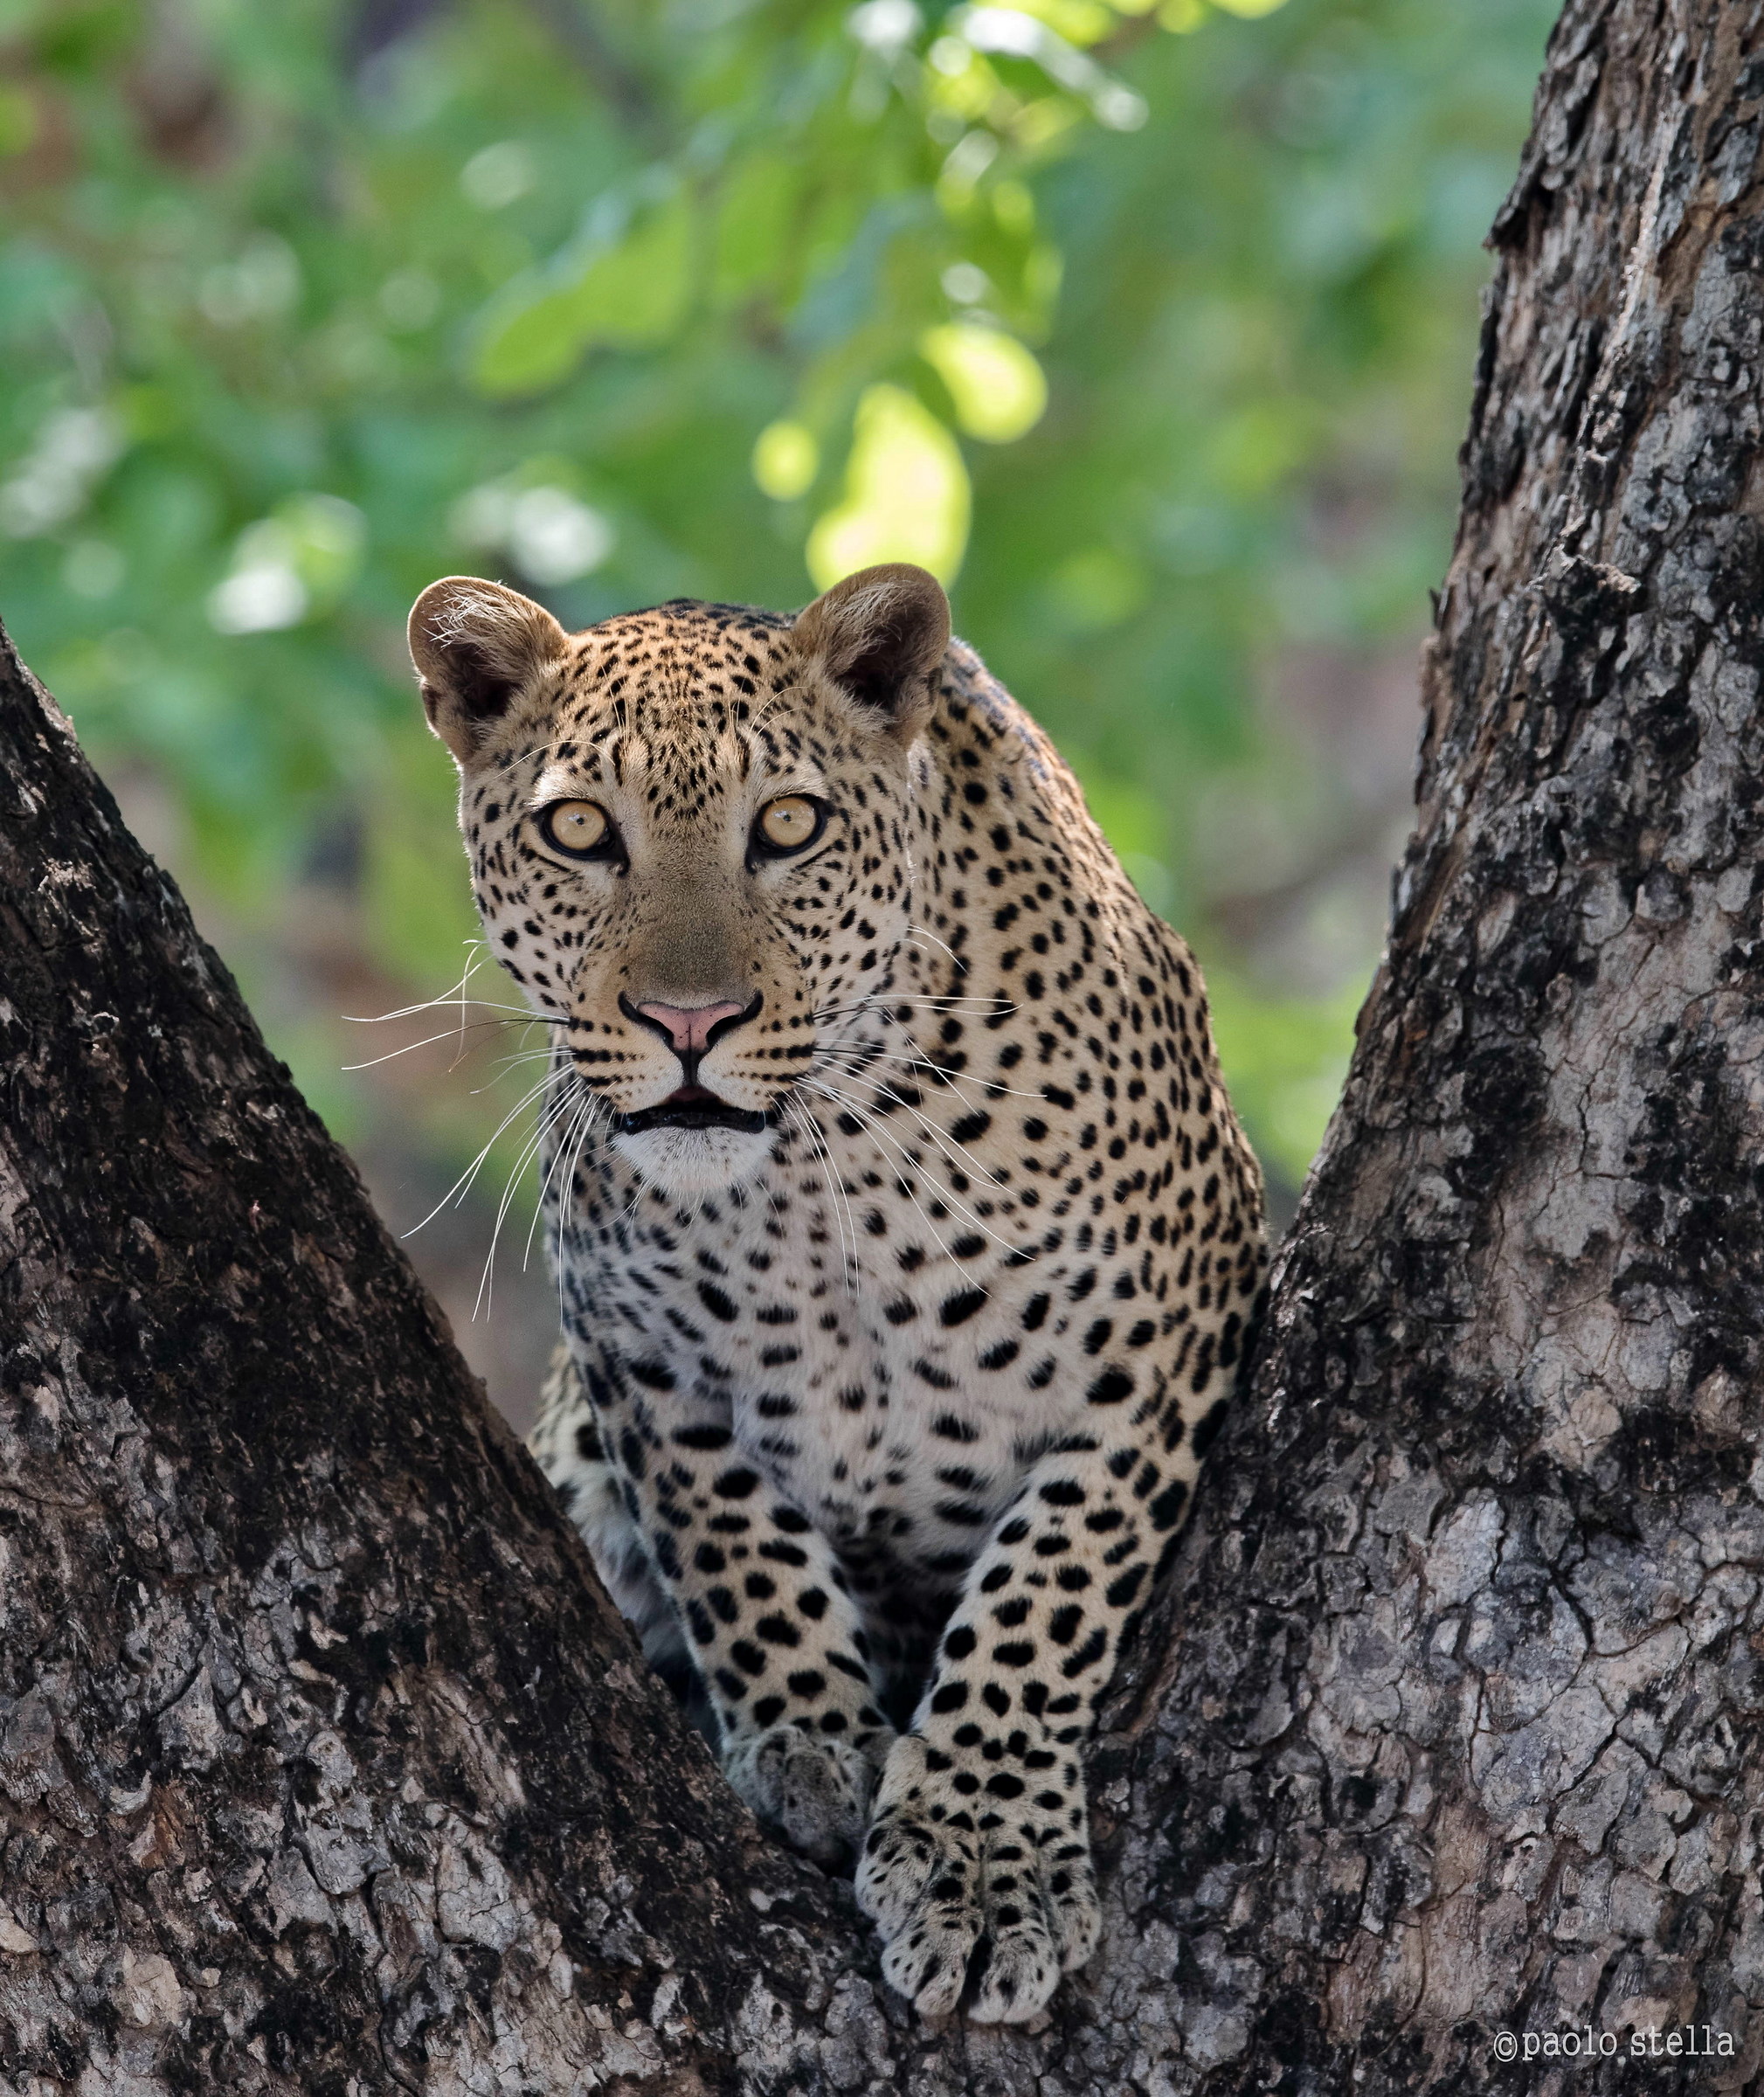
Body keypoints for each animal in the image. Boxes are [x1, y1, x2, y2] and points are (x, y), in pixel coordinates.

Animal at [407, 561, 1267, 2024]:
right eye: (580, 830)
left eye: (787, 826)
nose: (688, 1025)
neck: (819, 1181)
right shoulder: (634, 1361)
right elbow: (726, 1539)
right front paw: (812, 1745)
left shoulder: (1166, 1334)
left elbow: (1047, 1587)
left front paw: (980, 1857)